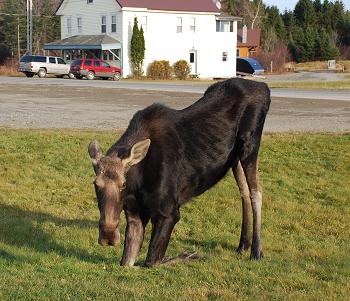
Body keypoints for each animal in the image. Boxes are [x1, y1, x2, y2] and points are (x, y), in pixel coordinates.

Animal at [87, 77, 270, 264]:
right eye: (95, 184)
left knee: (256, 191)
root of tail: (264, 87)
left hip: (249, 146)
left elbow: (152, 261)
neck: (138, 183)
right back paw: (243, 245)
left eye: (123, 184)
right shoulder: (134, 214)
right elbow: (127, 262)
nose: (108, 235)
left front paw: (190, 255)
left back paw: (256, 251)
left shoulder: (169, 213)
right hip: (235, 158)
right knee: (244, 192)